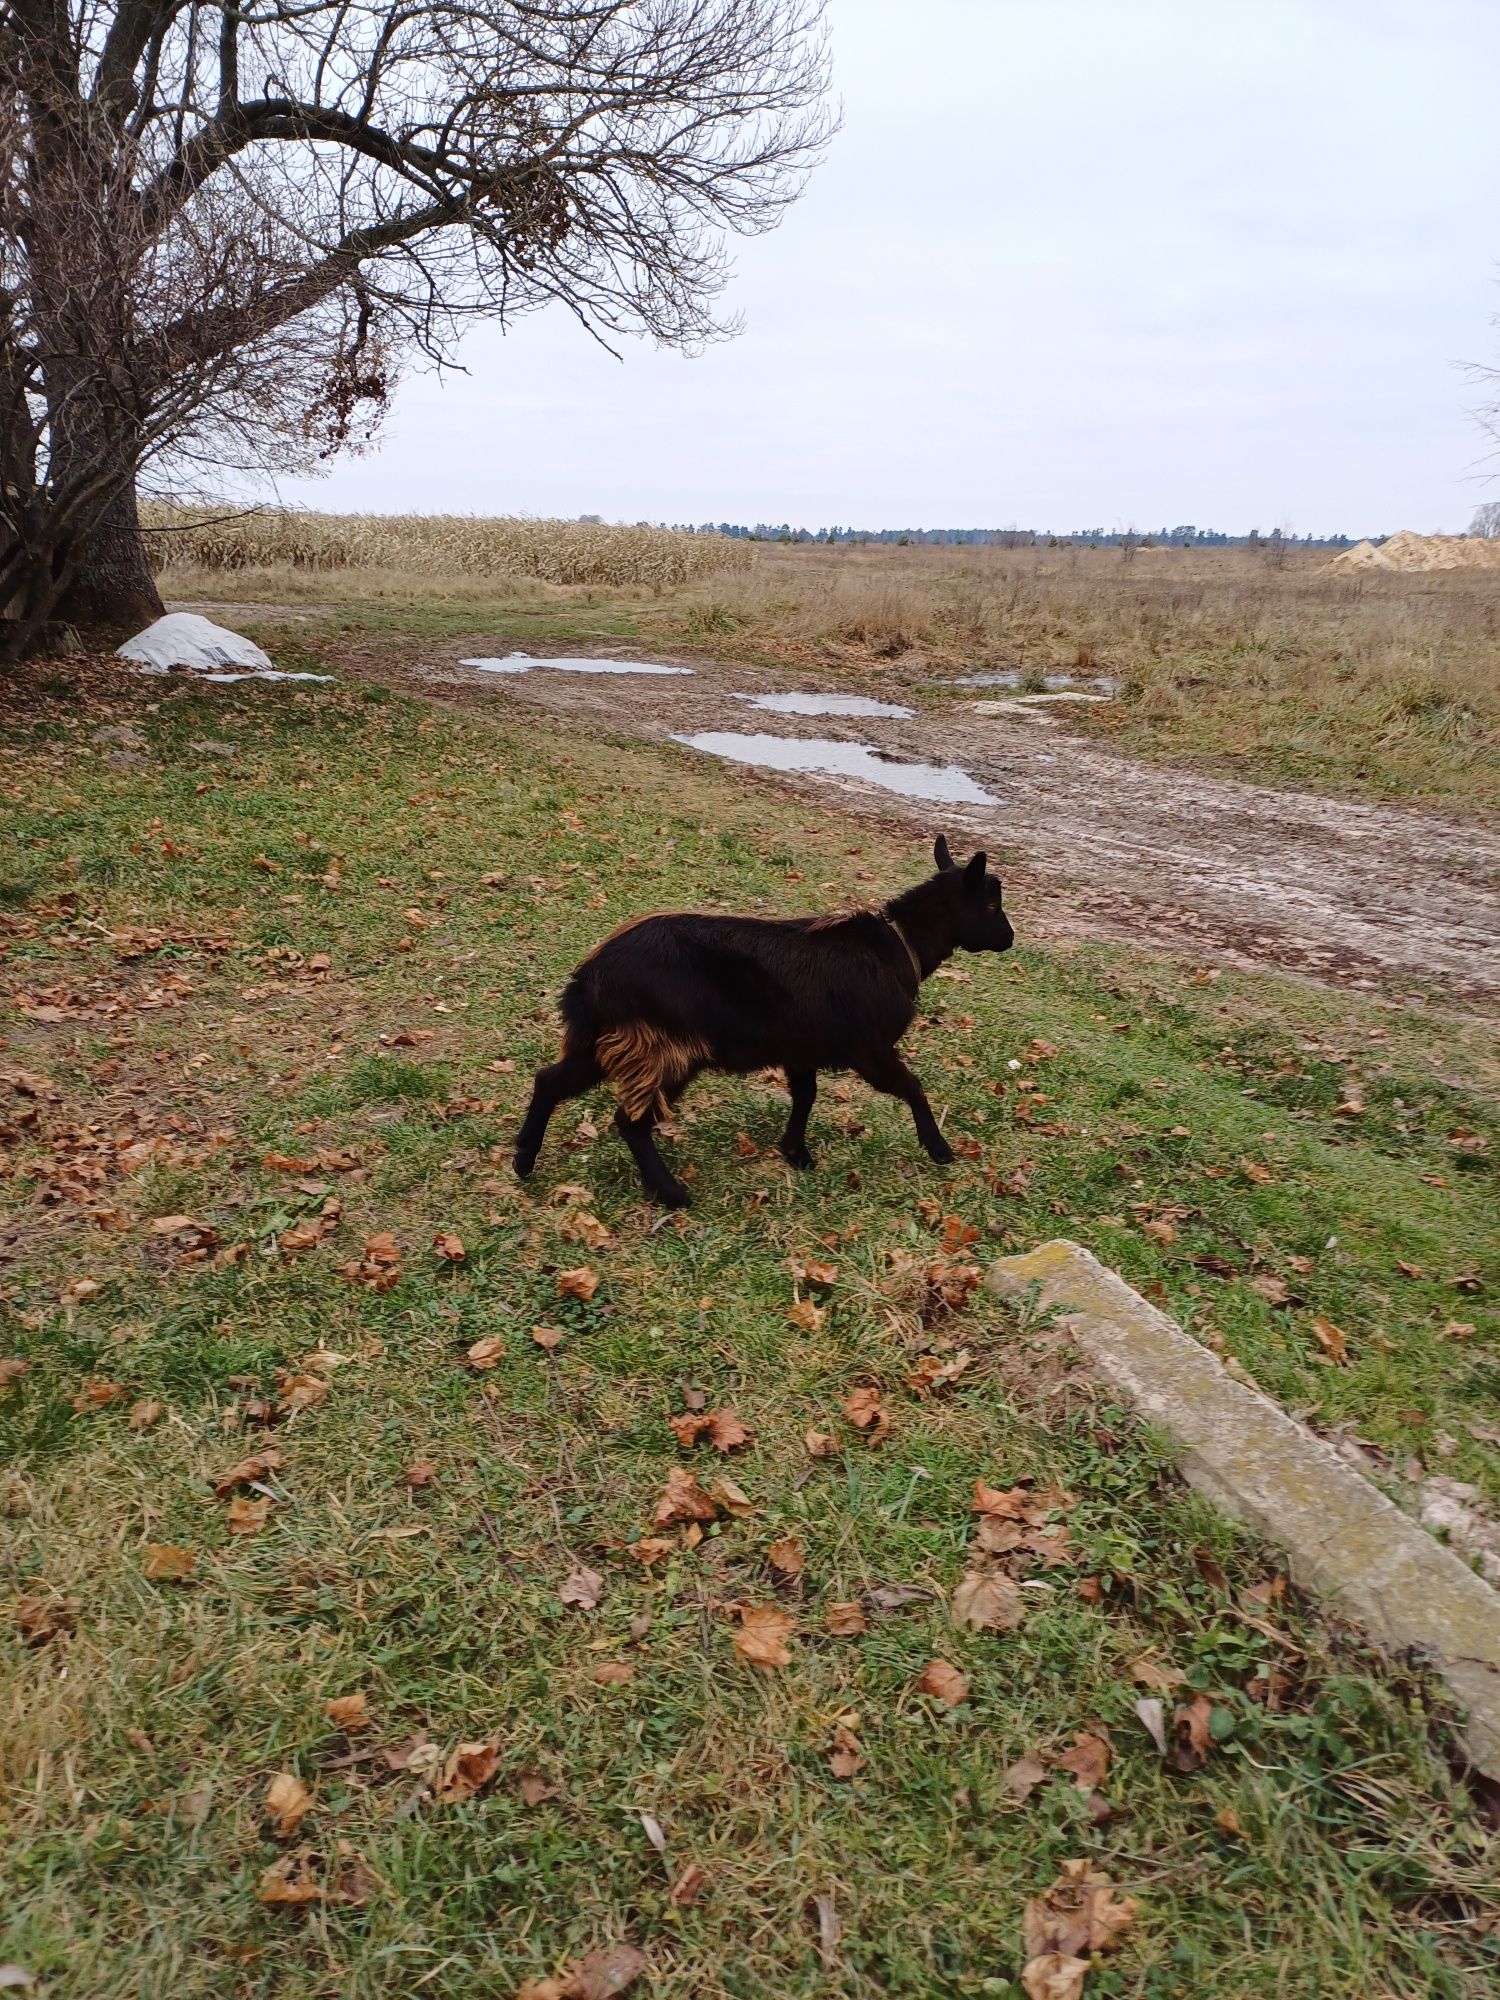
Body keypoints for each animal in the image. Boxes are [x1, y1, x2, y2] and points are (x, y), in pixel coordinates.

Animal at [516, 832, 1024, 1200]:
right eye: (991, 904)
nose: (1009, 939)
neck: (900, 947)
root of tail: (590, 977)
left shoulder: (801, 1049)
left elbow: (805, 1096)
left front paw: (795, 1153)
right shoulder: (870, 1049)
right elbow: (912, 1087)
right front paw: (939, 1150)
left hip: (606, 1039)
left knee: (550, 1081)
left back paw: (523, 1161)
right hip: (665, 1046)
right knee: (631, 1120)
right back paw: (670, 1194)